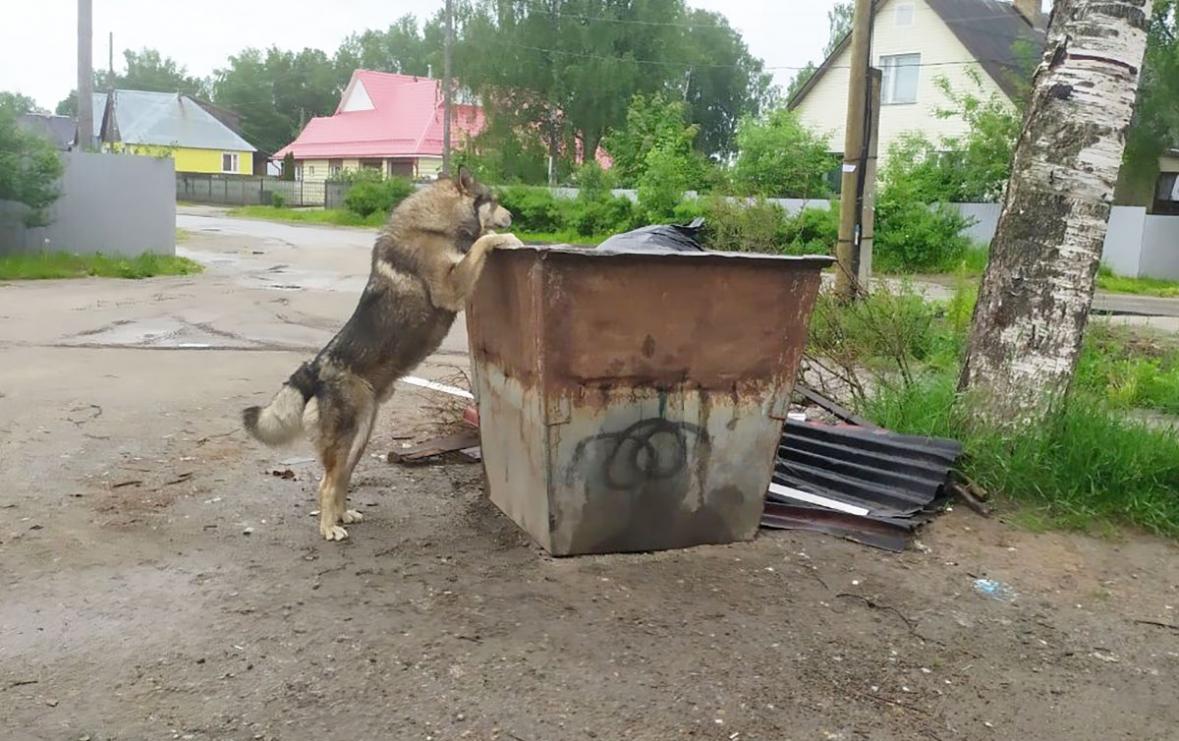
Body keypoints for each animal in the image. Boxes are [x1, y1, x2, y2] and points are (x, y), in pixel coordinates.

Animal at [241, 166, 518, 538]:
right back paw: (329, 529)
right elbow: (482, 242)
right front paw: (508, 237)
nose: (513, 215)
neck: (434, 224)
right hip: (348, 438)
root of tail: (315, 370)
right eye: (495, 200)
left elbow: (479, 242)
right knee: (326, 484)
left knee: (340, 480)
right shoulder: (450, 286)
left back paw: (343, 516)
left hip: (359, 440)